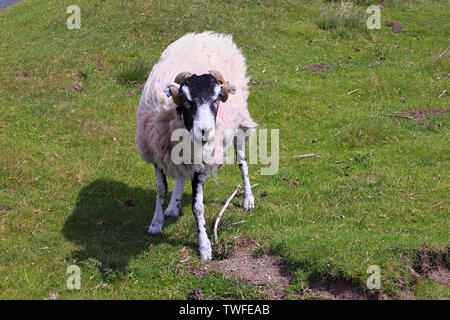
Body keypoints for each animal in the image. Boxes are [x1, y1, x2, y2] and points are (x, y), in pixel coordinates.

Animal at [135, 31, 256, 260]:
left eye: (216, 99)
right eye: (186, 98)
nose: (205, 130)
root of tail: (213, 35)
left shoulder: (201, 163)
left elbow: (198, 207)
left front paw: (205, 246)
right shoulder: (157, 154)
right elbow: (160, 190)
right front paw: (156, 223)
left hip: (238, 124)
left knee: (242, 162)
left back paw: (248, 199)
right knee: (180, 176)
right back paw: (173, 207)